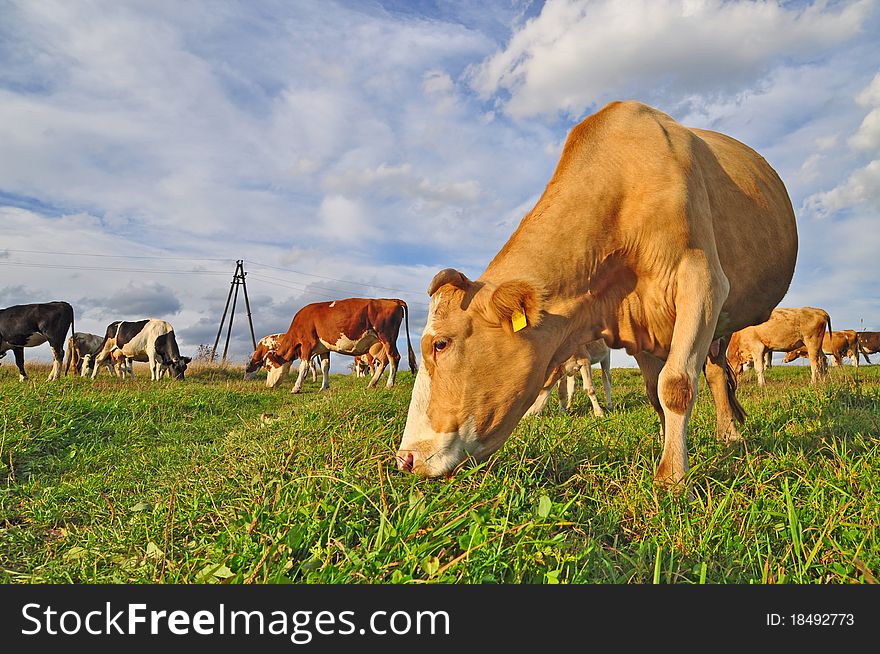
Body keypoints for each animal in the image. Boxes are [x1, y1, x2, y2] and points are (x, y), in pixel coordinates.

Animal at [266, 298, 418, 394]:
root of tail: (391, 300)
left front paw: (296, 388)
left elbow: (304, 367)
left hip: (387, 337)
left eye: (268, 367)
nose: (268, 386)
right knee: (384, 362)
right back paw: (372, 383)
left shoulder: (307, 344)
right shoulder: (324, 348)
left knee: (394, 358)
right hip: (380, 344)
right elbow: (325, 367)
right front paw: (324, 387)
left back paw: (389, 384)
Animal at [396, 98, 800, 486]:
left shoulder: (703, 282)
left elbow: (676, 384)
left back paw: (729, 434)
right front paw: (664, 447)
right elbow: (654, 394)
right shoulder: (640, 320)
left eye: (441, 344)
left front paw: (672, 476)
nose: (405, 458)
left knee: (715, 374)